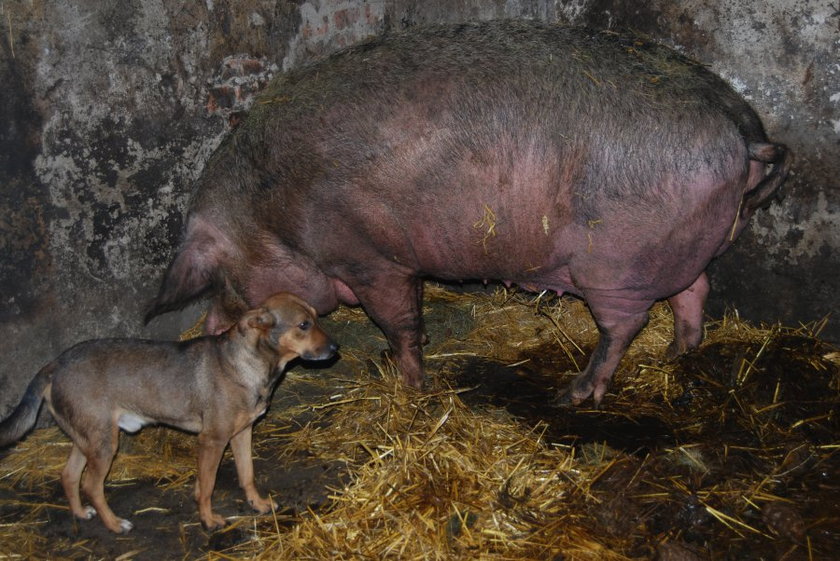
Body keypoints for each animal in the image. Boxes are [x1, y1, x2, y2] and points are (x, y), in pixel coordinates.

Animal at [0, 290, 334, 532]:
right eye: (303, 325)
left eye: (317, 318)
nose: (335, 348)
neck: (248, 362)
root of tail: (54, 364)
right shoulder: (212, 441)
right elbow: (208, 485)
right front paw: (208, 520)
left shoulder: (241, 434)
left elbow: (246, 475)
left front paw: (257, 504)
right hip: (104, 444)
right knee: (91, 485)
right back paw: (115, 524)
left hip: (88, 439)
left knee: (69, 476)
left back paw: (82, 514)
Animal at [146, 19, 788, 404]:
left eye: (224, 282)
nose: (211, 332)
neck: (276, 214)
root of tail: (745, 129)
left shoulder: (372, 256)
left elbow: (401, 321)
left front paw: (411, 386)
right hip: (672, 247)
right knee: (694, 289)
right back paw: (681, 354)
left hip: (615, 260)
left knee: (626, 325)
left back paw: (575, 394)